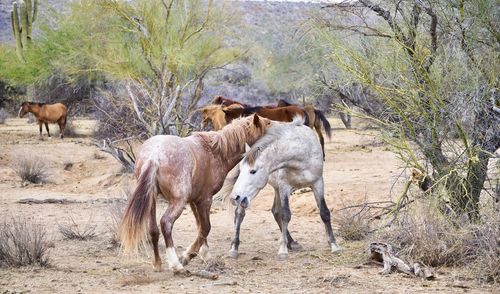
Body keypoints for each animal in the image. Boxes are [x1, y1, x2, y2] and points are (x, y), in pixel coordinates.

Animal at [119, 114, 272, 274]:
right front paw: (188, 256)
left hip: (152, 200)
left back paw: (157, 263)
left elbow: (200, 227)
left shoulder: (194, 200)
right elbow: (205, 227)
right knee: (166, 223)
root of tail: (154, 156)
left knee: (153, 230)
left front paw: (204, 254)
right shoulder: (205, 200)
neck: (215, 152)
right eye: (268, 123)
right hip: (177, 202)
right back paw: (175, 264)